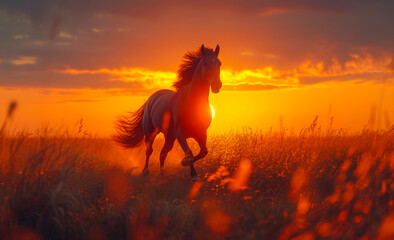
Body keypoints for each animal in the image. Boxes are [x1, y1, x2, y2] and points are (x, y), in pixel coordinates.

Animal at [113, 44, 222, 180]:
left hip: (169, 137)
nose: (217, 85)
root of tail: (152, 98)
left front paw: (185, 164)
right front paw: (192, 173)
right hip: (151, 133)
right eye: (205, 64)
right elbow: (189, 153)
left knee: (163, 153)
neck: (192, 102)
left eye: (219, 63)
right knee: (149, 150)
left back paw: (162, 174)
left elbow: (203, 152)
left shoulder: (201, 133)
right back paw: (145, 171)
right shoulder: (180, 134)